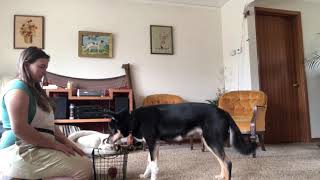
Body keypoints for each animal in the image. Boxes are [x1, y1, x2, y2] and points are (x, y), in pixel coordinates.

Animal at [110, 102, 258, 180]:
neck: (134, 118)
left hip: (212, 141)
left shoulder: (152, 144)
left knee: (227, 162)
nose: (107, 140)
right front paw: (145, 175)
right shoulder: (155, 145)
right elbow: (149, 164)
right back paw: (221, 176)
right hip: (209, 142)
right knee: (222, 162)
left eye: (112, 129)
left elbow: (153, 165)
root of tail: (224, 112)